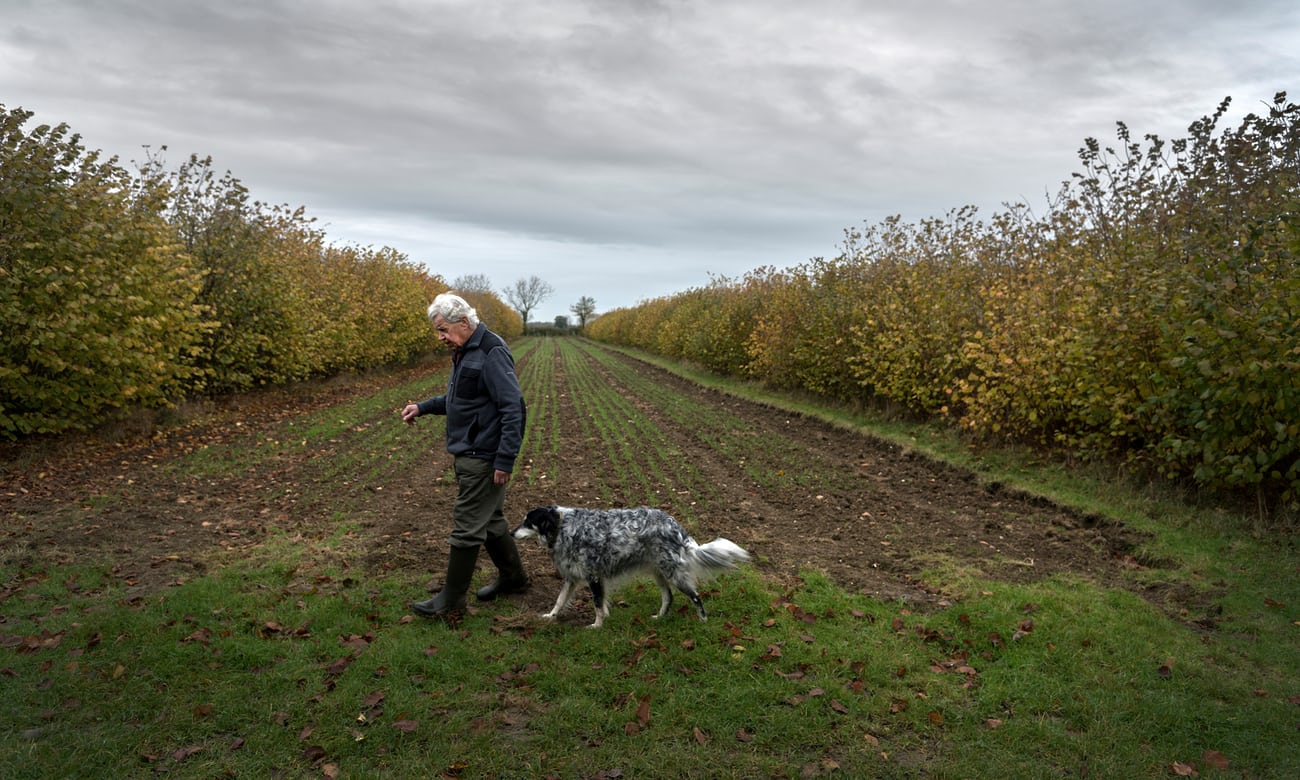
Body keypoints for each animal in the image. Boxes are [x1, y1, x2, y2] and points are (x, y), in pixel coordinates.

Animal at [509, 506, 748, 626]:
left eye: (528, 522)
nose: (511, 533)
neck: (562, 526)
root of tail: (676, 526)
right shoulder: (572, 577)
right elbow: (560, 600)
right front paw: (550, 616)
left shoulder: (593, 576)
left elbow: (597, 604)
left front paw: (596, 626)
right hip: (658, 571)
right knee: (668, 597)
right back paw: (659, 617)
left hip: (673, 572)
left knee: (696, 597)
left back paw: (703, 621)